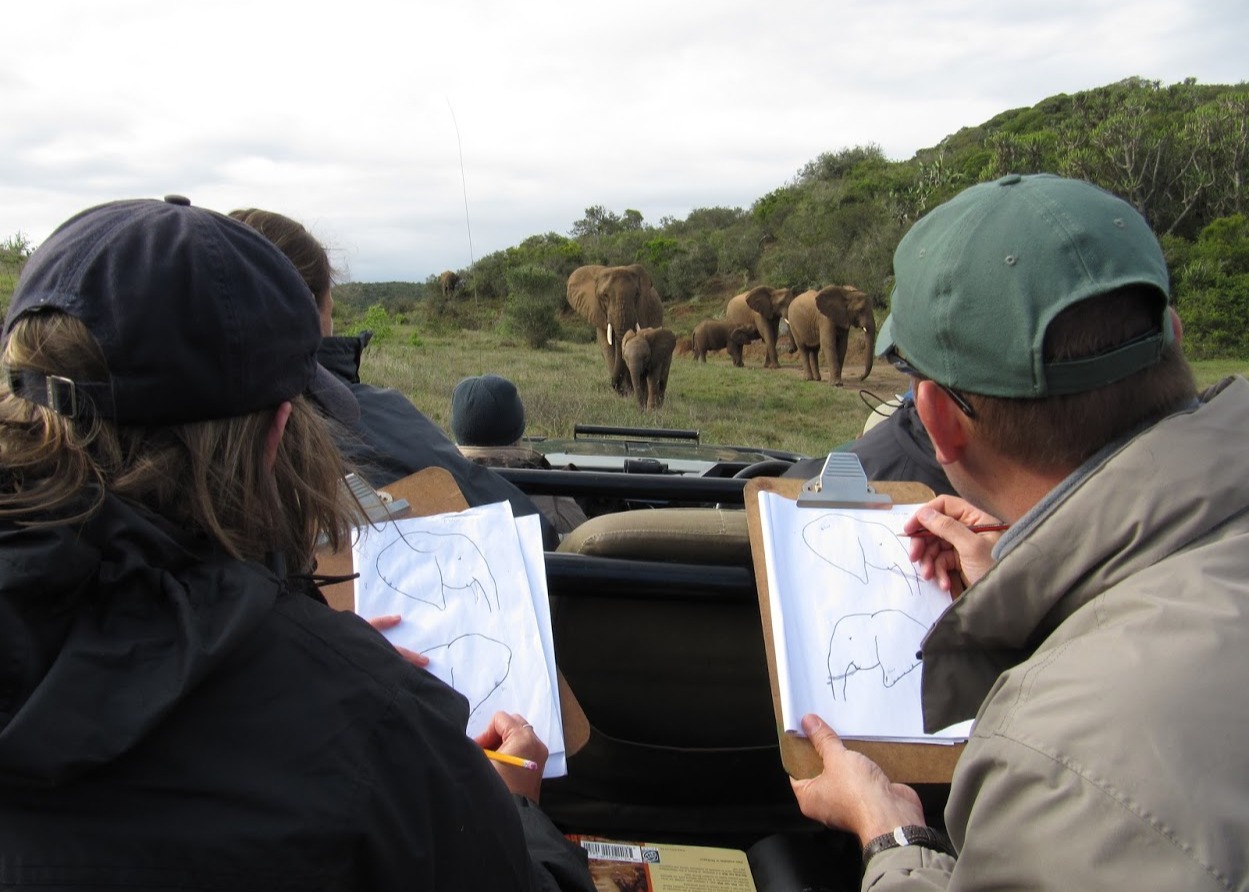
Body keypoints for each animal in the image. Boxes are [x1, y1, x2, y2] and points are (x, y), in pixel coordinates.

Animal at [566, 264, 664, 394]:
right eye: (604, 296)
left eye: (637, 295)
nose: (614, 385)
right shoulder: (599, 314)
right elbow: (607, 346)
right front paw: (626, 392)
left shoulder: (642, 311)